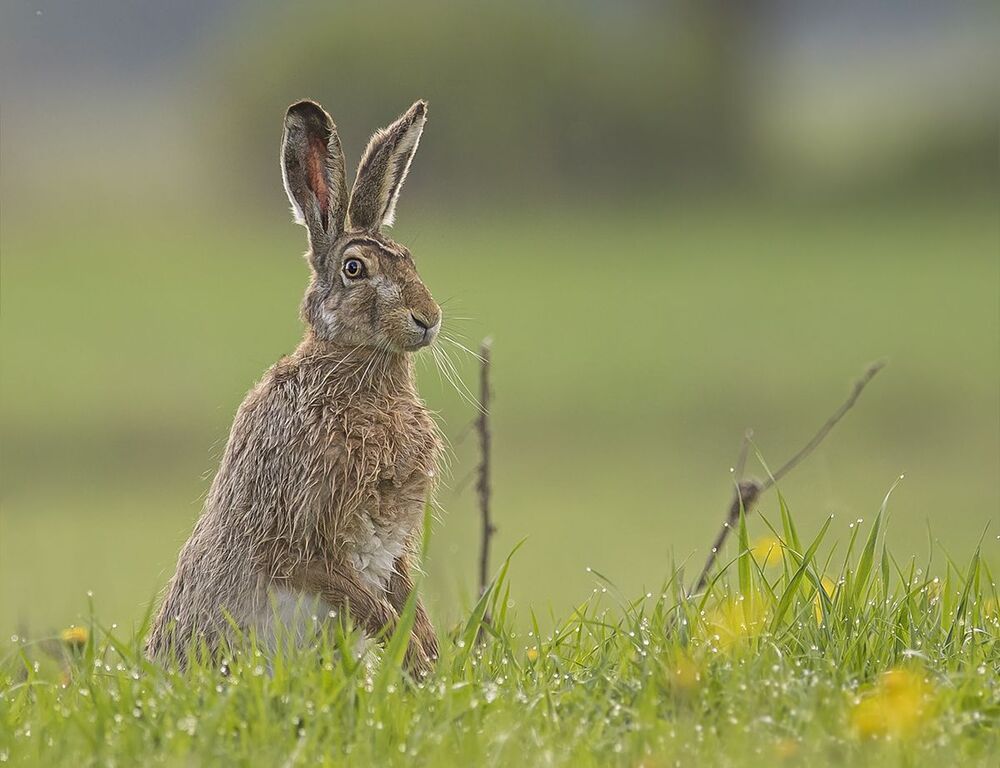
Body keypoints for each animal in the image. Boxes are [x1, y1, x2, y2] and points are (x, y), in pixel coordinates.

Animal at [145, 99, 443, 673]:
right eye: (354, 268)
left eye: (410, 259)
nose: (428, 318)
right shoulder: (302, 540)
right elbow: (371, 607)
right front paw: (418, 661)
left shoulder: (393, 548)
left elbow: (404, 602)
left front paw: (430, 662)